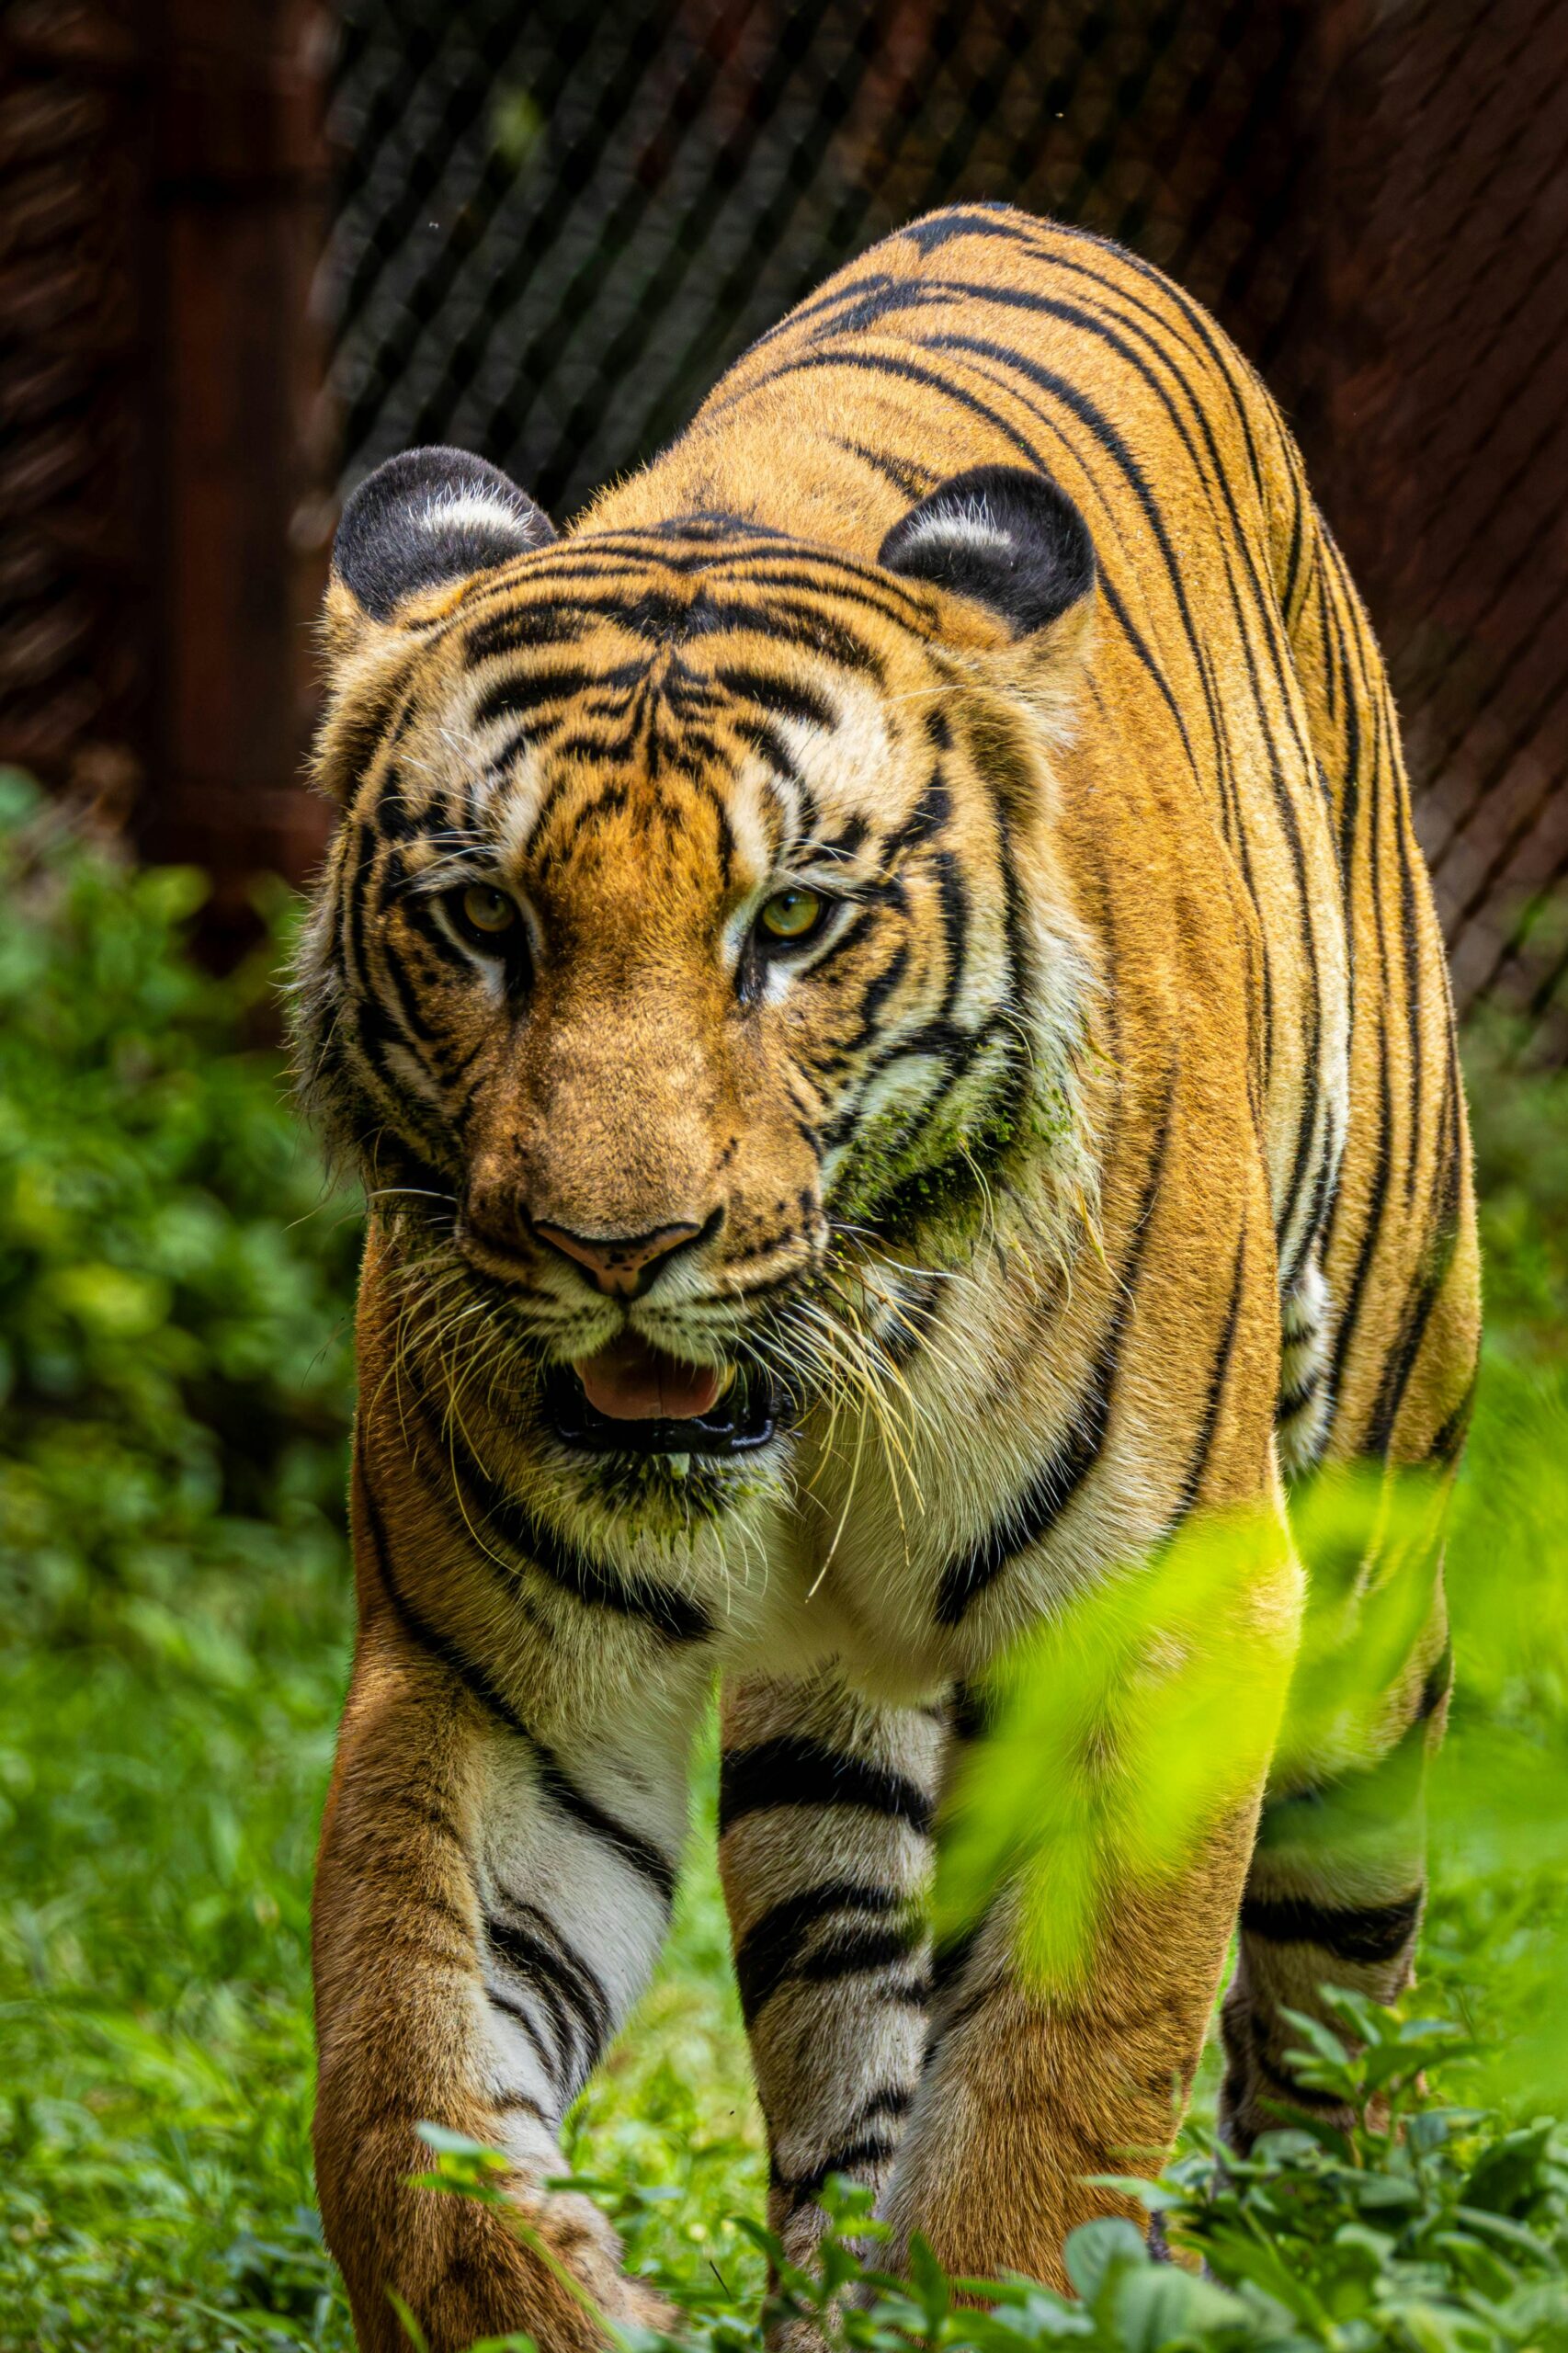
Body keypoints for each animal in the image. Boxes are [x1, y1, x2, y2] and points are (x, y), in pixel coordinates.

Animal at [295, 201, 1480, 2352]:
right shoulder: (490, 1672)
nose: (616, 1249)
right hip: (821, 1732)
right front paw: (548, 2293)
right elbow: (399, 2071)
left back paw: (1322, 2239)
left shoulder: (1164, 1619)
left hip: (1367, 1536)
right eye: (484, 918)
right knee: (855, 1997)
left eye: (791, 922)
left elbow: (1057, 2083)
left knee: (1335, 1968)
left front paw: (1024, 2281)